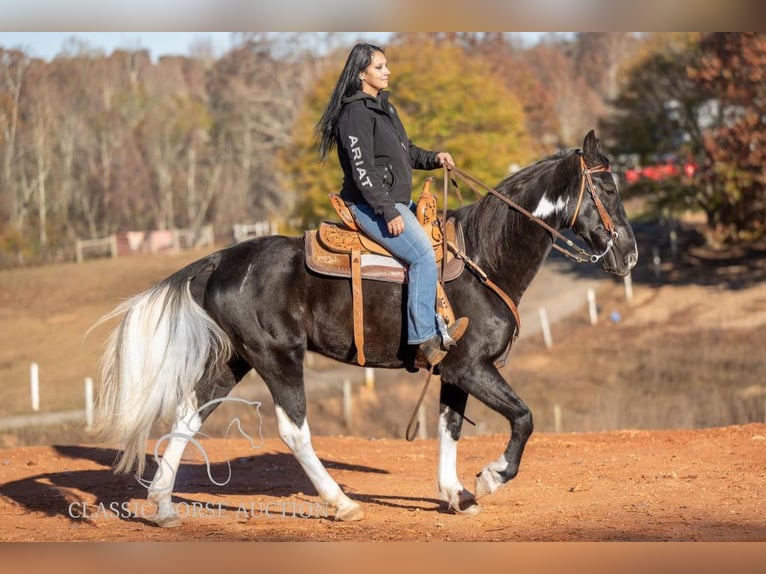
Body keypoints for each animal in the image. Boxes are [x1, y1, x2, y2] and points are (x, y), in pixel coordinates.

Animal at [93, 129, 640, 528]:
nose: (630, 254)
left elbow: (450, 426)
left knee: (188, 417)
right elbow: (524, 418)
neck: (486, 258)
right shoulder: (473, 366)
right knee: (294, 430)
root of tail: (219, 259)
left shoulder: (454, 371)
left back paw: (164, 506)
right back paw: (341, 503)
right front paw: (490, 477)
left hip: (235, 360)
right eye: (609, 188)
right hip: (278, 357)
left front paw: (455, 495)